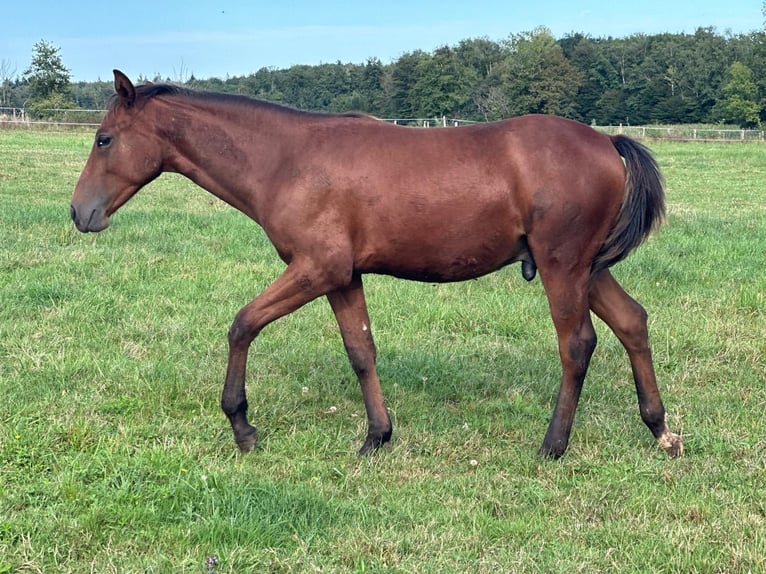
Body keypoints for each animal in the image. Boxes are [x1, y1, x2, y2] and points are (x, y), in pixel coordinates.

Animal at [72, 71, 684, 460]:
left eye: (104, 139)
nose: (80, 212)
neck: (287, 159)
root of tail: (606, 142)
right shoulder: (343, 277)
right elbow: (361, 351)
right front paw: (376, 437)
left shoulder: (315, 269)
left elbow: (242, 324)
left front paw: (242, 425)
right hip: (587, 270)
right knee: (633, 322)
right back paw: (659, 429)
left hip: (563, 267)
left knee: (577, 344)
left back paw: (553, 445)